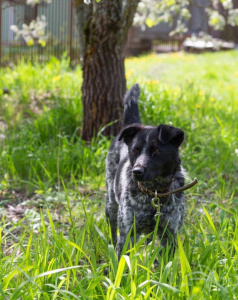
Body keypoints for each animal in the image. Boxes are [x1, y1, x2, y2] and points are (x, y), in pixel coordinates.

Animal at [106, 83, 186, 258]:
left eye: (156, 150)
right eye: (135, 150)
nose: (137, 171)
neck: (154, 192)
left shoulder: (169, 233)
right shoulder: (127, 233)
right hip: (110, 205)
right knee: (112, 230)